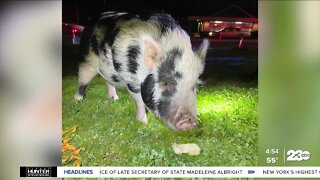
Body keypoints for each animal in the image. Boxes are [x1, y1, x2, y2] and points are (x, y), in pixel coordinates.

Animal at [73, 12, 209, 131]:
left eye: (194, 86)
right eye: (165, 83)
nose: (189, 120)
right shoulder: (132, 80)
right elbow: (139, 101)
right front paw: (143, 123)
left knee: (108, 81)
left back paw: (114, 98)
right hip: (88, 60)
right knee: (83, 78)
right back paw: (78, 100)